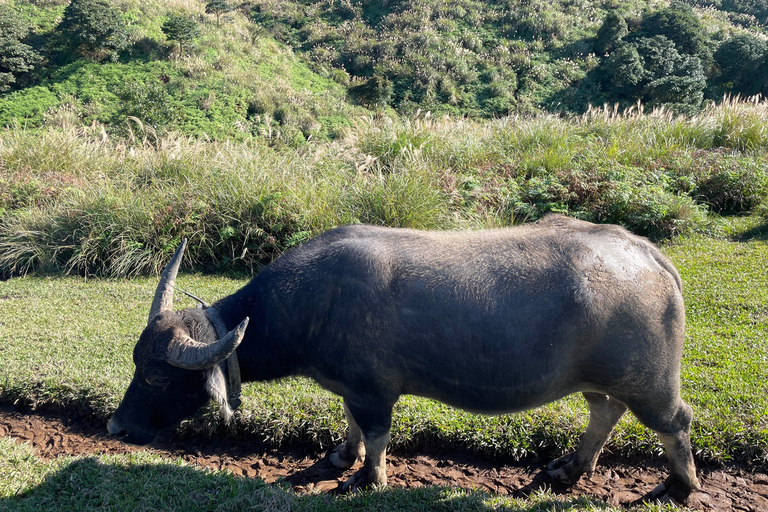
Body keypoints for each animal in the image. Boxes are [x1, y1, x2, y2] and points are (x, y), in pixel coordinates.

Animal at [108, 215, 704, 504]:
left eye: (157, 376)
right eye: (137, 361)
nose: (115, 427)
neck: (312, 302)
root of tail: (648, 253)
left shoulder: (376, 393)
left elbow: (376, 437)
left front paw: (367, 479)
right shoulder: (351, 388)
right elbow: (350, 426)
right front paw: (338, 458)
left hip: (651, 384)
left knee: (674, 423)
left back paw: (678, 487)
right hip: (607, 380)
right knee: (604, 411)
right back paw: (569, 468)